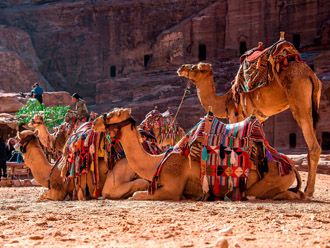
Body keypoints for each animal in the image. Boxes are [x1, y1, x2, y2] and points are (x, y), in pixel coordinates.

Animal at [93, 108, 304, 202]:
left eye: (113, 115)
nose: (95, 122)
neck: (156, 162)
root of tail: (290, 166)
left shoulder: (173, 188)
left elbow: (136, 195)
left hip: (272, 178)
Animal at [178, 60, 322, 198]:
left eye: (196, 67)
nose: (182, 67)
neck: (225, 101)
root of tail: (310, 75)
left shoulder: (236, 117)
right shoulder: (258, 119)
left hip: (299, 100)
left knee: (313, 145)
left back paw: (308, 191)